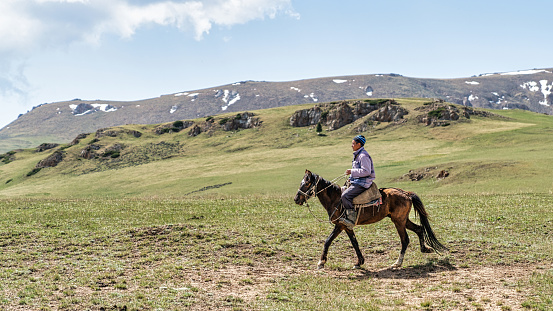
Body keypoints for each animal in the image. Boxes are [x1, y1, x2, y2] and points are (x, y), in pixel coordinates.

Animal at [294, 171, 444, 270]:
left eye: (306, 183)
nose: (296, 199)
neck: (335, 199)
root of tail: (406, 193)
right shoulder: (347, 227)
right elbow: (354, 243)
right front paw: (359, 262)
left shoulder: (340, 225)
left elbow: (327, 241)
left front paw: (321, 262)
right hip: (402, 220)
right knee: (419, 228)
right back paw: (425, 249)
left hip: (399, 222)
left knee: (405, 239)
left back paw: (397, 263)